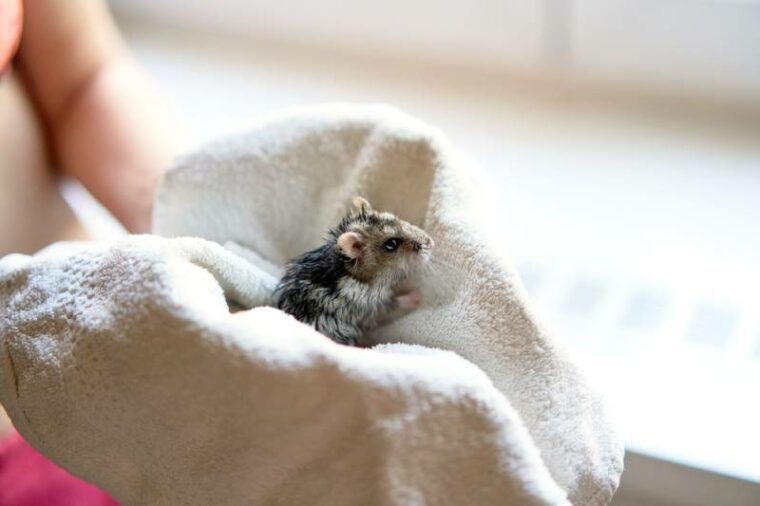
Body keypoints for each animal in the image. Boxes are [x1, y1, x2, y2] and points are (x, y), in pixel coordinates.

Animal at [274, 196, 434, 346]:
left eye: (397, 219)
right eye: (391, 244)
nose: (431, 242)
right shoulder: (367, 303)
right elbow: (392, 306)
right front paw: (418, 296)